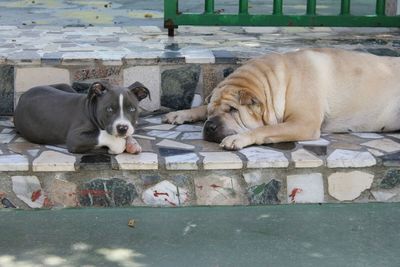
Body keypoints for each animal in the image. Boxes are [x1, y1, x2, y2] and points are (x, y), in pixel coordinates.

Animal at [14, 80, 150, 154]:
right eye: (109, 109)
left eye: (132, 109)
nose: (122, 128)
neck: (91, 109)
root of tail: (23, 95)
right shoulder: (75, 138)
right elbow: (103, 136)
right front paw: (118, 145)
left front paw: (132, 143)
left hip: (66, 87)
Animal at [163, 48, 400, 151]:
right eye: (212, 111)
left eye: (233, 110)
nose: (209, 126)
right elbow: (200, 106)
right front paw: (182, 113)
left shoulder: (303, 123)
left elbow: (266, 129)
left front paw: (239, 138)